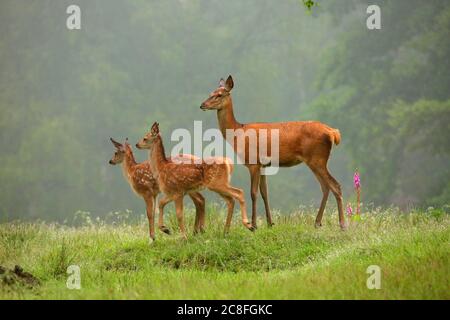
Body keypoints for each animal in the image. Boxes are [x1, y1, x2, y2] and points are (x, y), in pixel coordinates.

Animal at [200, 75, 344, 230]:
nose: (202, 105)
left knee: (335, 185)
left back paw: (342, 224)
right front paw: (270, 223)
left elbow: (253, 193)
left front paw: (254, 225)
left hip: (317, 159)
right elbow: (265, 192)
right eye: (211, 92)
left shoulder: (253, 163)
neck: (238, 132)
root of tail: (332, 132)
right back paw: (317, 222)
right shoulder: (263, 165)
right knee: (325, 187)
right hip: (316, 161)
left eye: (219, 94)